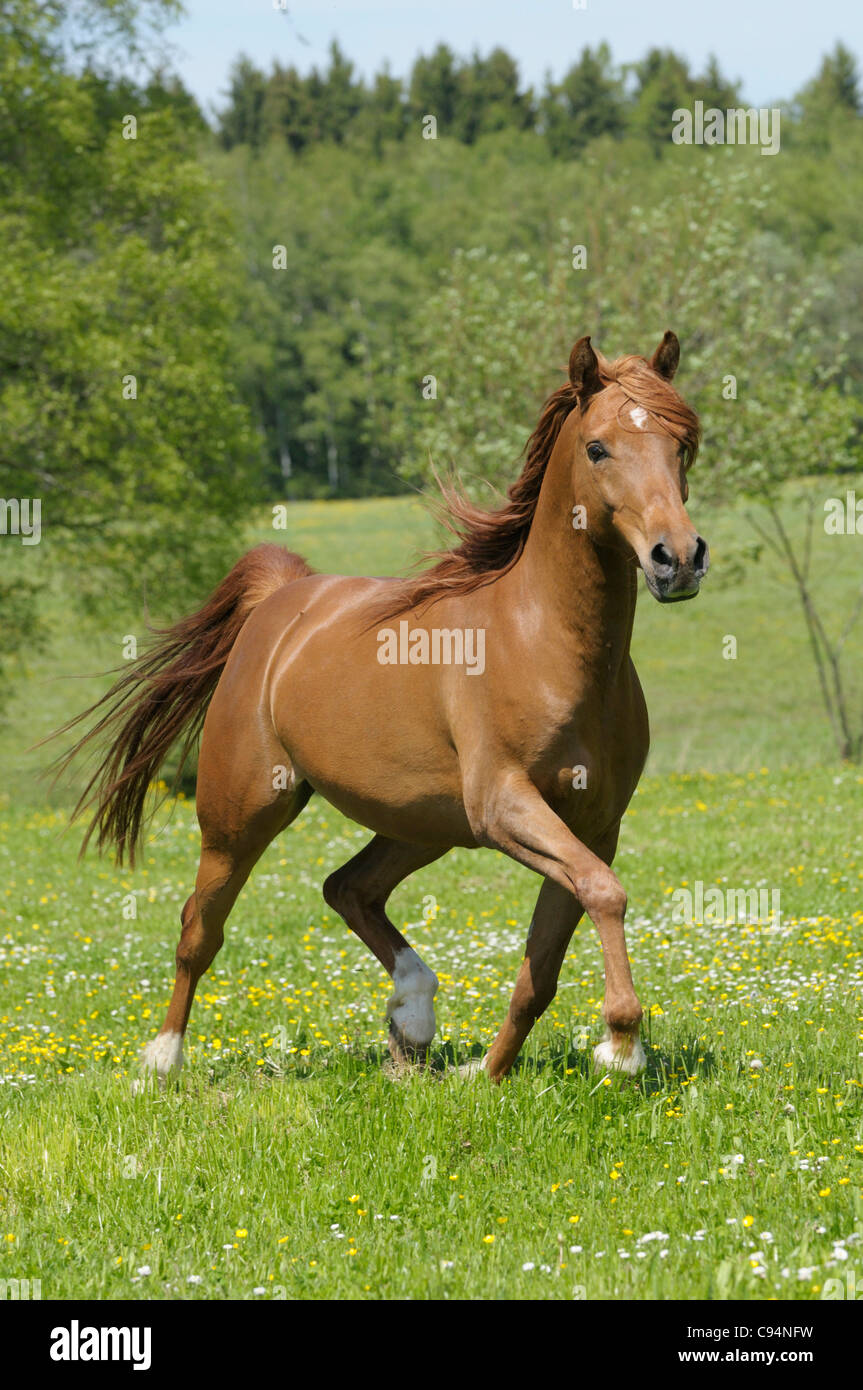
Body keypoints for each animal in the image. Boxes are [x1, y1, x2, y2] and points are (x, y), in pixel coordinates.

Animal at [57, 333, 711, 1084]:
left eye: (683, 444)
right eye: (598, 448)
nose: (677, 558)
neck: (547, 645)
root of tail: (284, 597)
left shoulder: (593, 825)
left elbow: (544, 964)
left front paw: (486, 1076)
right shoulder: (505, 806)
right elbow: (604, 894)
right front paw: (622, 1045)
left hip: (421, 823)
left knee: (348, 888)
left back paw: (413, 1017)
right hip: (242, 815)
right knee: (201, 928)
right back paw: (163, 1060)